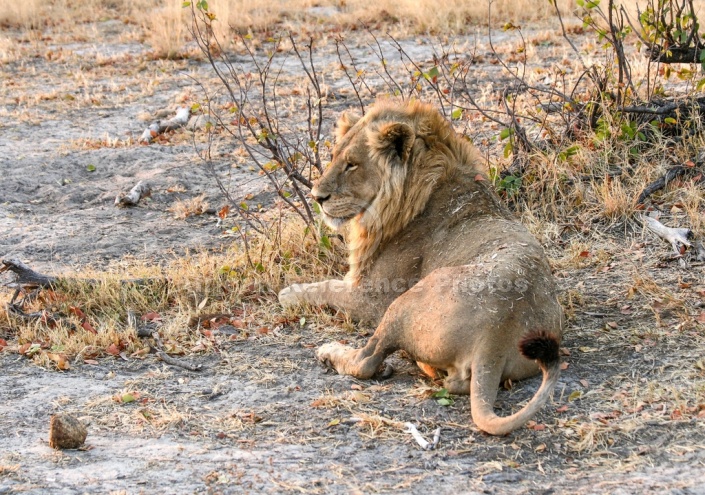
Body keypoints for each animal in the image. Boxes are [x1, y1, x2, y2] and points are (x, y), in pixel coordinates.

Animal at [278, 101, 564, 438]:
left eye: (352, 165)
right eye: (334, 157)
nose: (317, 197)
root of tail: (494, 336)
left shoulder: (371, 297)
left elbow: (325, 287)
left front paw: (288, 293)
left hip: (402, 304)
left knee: (366, 360)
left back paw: (330, 352)